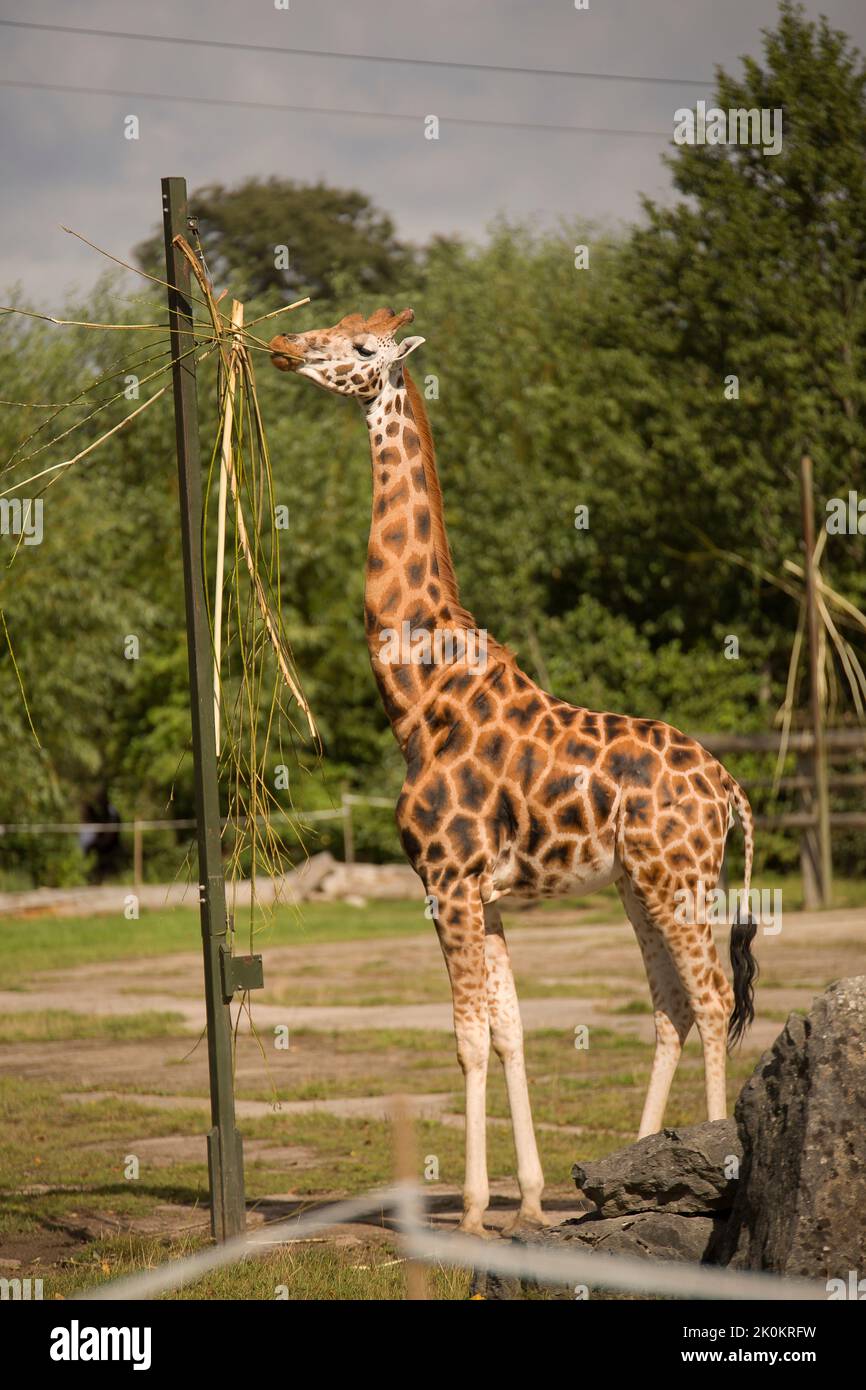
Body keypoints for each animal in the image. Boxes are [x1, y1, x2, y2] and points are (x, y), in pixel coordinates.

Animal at [271, 309, 756, 1234]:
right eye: (332, 324)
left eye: (360, 347)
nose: (281, 349)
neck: (420, 693)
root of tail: (731, 792)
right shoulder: (484, 893)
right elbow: (509, 1031)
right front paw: (529, 1201)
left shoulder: (447, 880)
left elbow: (465, 1037)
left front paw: (467, 1213)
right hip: (637, 883)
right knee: (671, 1007)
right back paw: (628, 1175)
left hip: (680, 876)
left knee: (713, 999)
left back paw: (710, 1169)